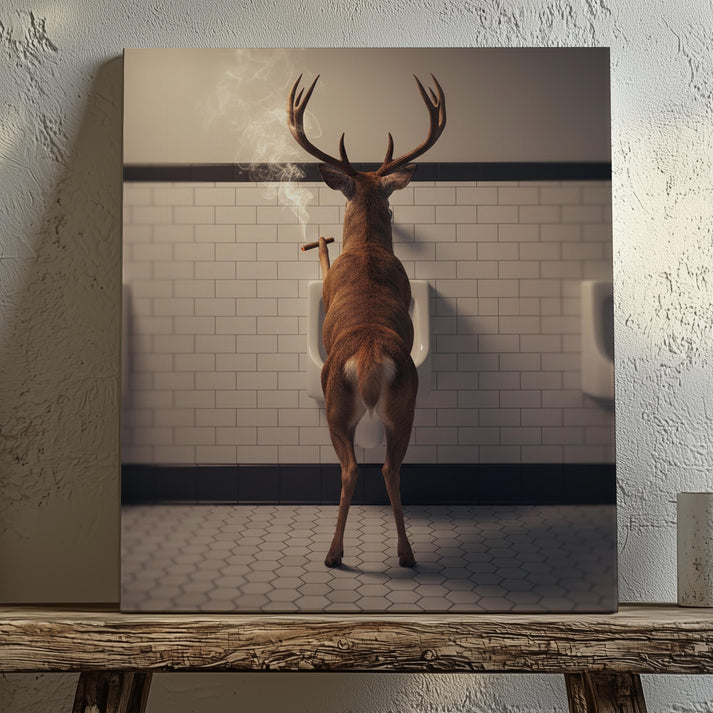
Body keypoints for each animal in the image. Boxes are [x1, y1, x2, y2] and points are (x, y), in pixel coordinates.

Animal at [288, 73, 446, 568]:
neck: (369, 248)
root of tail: (371, 356)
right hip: (407, 404)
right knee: (392, 467)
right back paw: (406, 553)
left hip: (336, 404)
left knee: (352, 467)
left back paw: (334, 553)